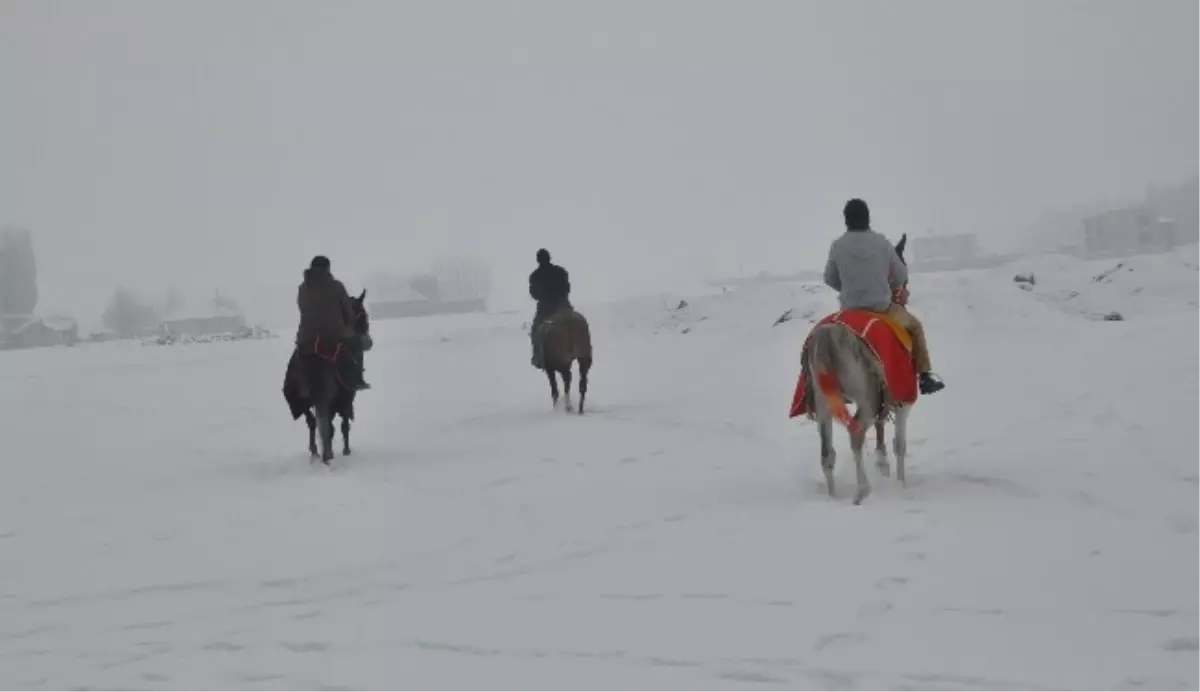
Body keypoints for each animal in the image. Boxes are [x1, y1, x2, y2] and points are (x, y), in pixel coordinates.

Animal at [284, 289, 369, 460]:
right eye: (362, 315)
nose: (368, 342)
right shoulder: (347, 396)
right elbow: (343, 424)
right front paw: (346, 450)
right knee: (324, 424)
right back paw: (326, 454)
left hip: (304, 399)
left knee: (312, 422)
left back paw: (316, 451)